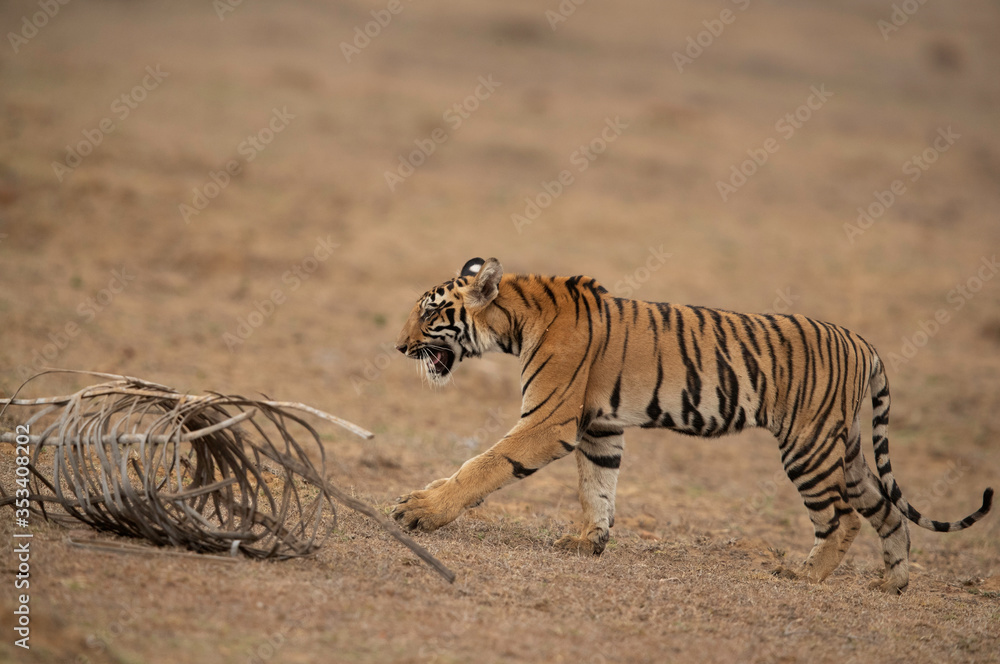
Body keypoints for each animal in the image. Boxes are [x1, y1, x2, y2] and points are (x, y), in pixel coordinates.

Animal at [391, 257, 993, 593]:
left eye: (429, 313)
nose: (397, 347)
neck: (516, 320)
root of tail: (863, 342)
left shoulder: (550, 420)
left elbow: (485, 464)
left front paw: (420, 510)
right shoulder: (599, 427)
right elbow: (597, 487)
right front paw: (588, 541)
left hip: (808, 447)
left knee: (842, 519)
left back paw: (806, 577)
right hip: (845, 450)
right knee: (888, 512)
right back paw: (892, 584)